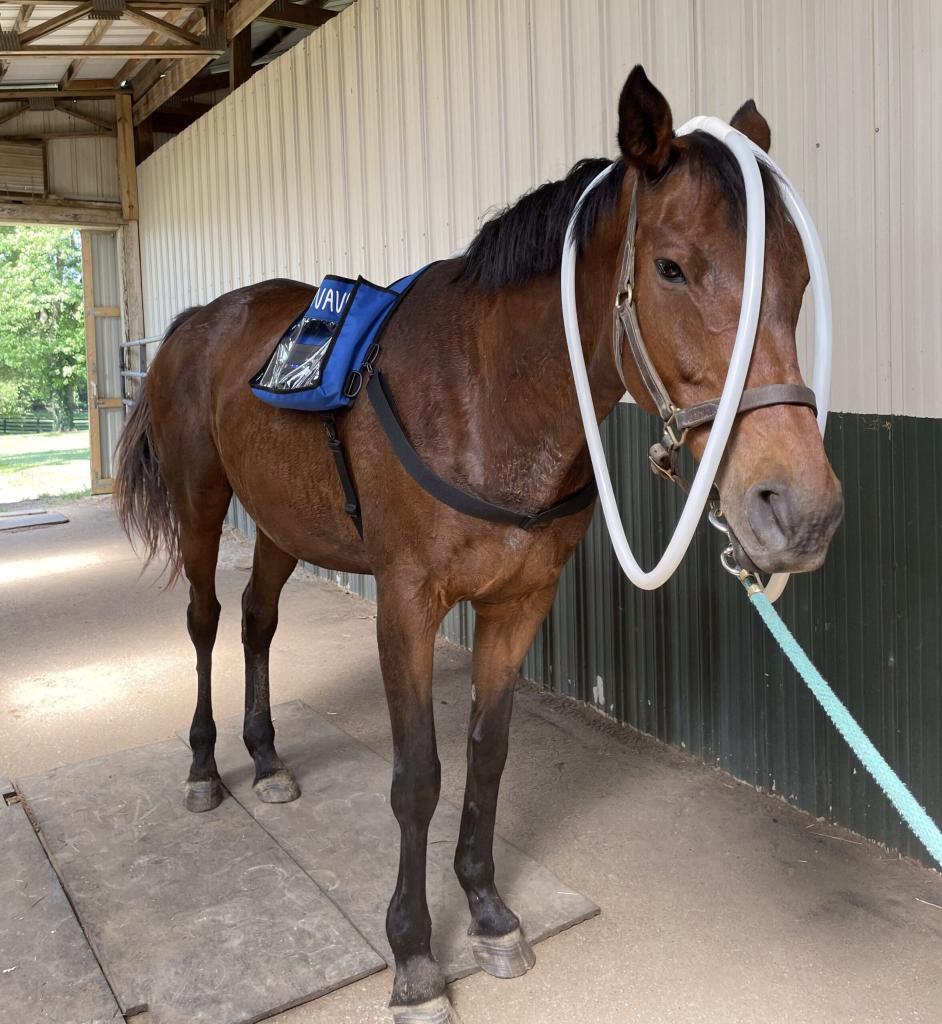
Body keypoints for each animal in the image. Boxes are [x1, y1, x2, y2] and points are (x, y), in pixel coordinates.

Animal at [114, 66, 843, 1023]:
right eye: (671, 266)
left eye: (796, 275)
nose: (798, 511)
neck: (484, 397)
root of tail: (198, 322)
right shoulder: (407, 606)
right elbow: (418, 775)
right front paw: (415, 952)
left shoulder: (520, 603)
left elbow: (487, 756)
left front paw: (490, 910)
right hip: (204, 509)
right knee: (203, 623)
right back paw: (206, 768)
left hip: (278, 524)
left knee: (256, 621)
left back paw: (267, 755)